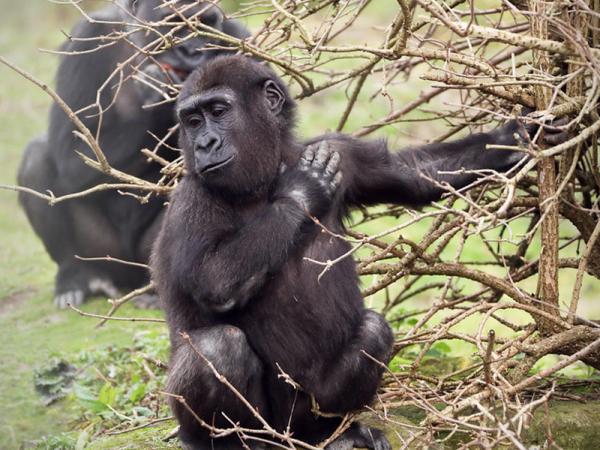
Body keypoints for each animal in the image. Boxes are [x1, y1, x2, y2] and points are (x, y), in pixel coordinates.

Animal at [17, 0, 248, 308]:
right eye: (172, 24)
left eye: (205, 24)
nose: (192, 51)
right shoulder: (85, 37)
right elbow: (69, 151)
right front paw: (159, 96)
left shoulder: (238, 38)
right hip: (105, 256)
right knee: (37, 156)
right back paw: (75, 274)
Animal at [152, 56, 552, 450]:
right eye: (192, 121)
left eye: (218, 111)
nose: (204, 143)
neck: (267, 172)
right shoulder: (191, 200)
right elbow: (215, 280)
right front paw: (301, 190)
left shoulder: (339, 150)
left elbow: (413, 175)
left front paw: (516, 137)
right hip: (261, 428)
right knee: (219, 346)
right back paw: (227, 442)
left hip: (302, 417)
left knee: (373, 332)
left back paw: (332, 434)